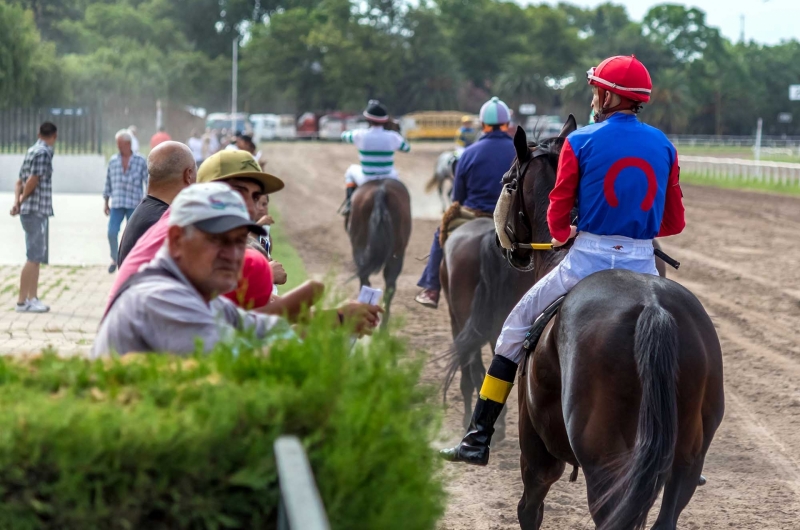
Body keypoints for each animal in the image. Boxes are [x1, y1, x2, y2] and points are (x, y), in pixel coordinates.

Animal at [504, 120, 728, 528]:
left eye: (509, 181)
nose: (513, 252)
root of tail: (653, 310)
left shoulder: (536, 447)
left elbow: (529, 509)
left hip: (605, 459)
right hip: (687, 459)